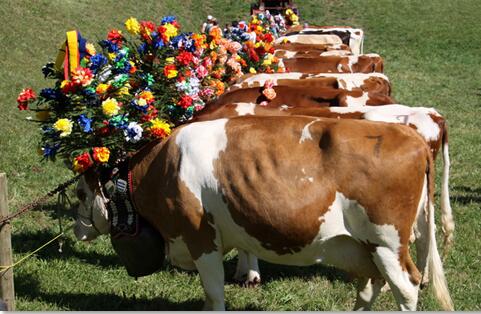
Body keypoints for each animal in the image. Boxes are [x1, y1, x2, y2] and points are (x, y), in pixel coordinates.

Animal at [73, 115, 452, 312]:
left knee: (406, 287)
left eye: (79, 193)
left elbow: (214, 291)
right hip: (364, 246)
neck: (162, 168)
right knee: (370, 286)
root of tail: (412, 136)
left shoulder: (201, 237)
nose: (76, 229)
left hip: (387, 242)